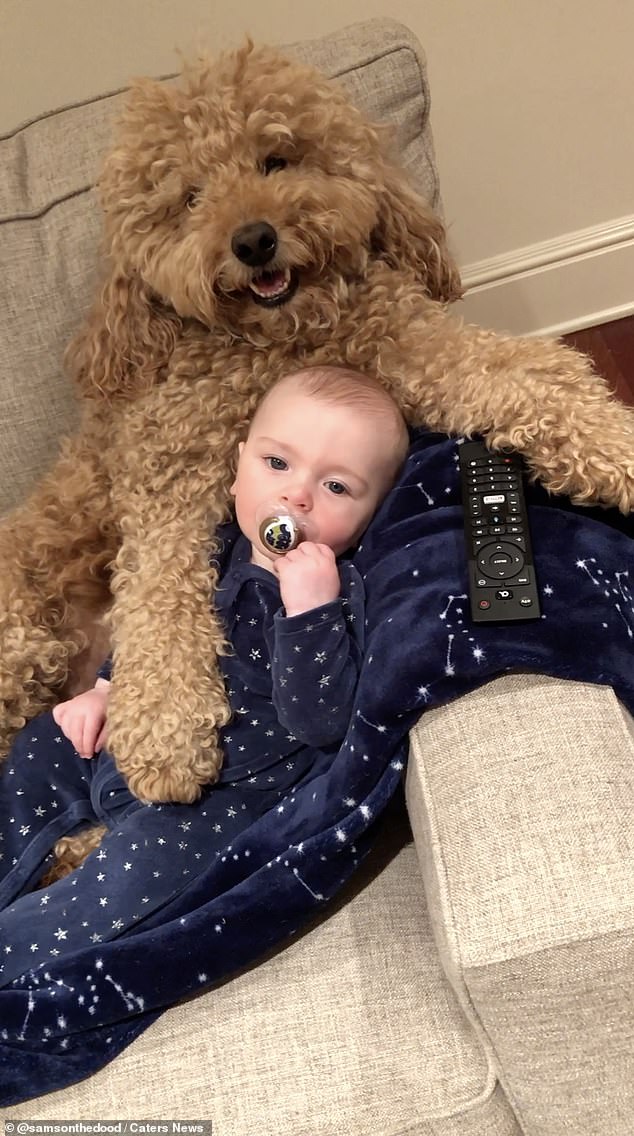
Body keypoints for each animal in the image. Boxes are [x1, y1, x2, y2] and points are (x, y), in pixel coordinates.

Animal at [0, 42, 631, 845]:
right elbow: (158, 594)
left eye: (275, 159)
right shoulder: (166, 477)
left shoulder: (417, 347)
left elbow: (534, 375)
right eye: (191, 198)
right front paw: (166, 732)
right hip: (21, 642)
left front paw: (616, 445)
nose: (253, 239)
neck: (278, 338)